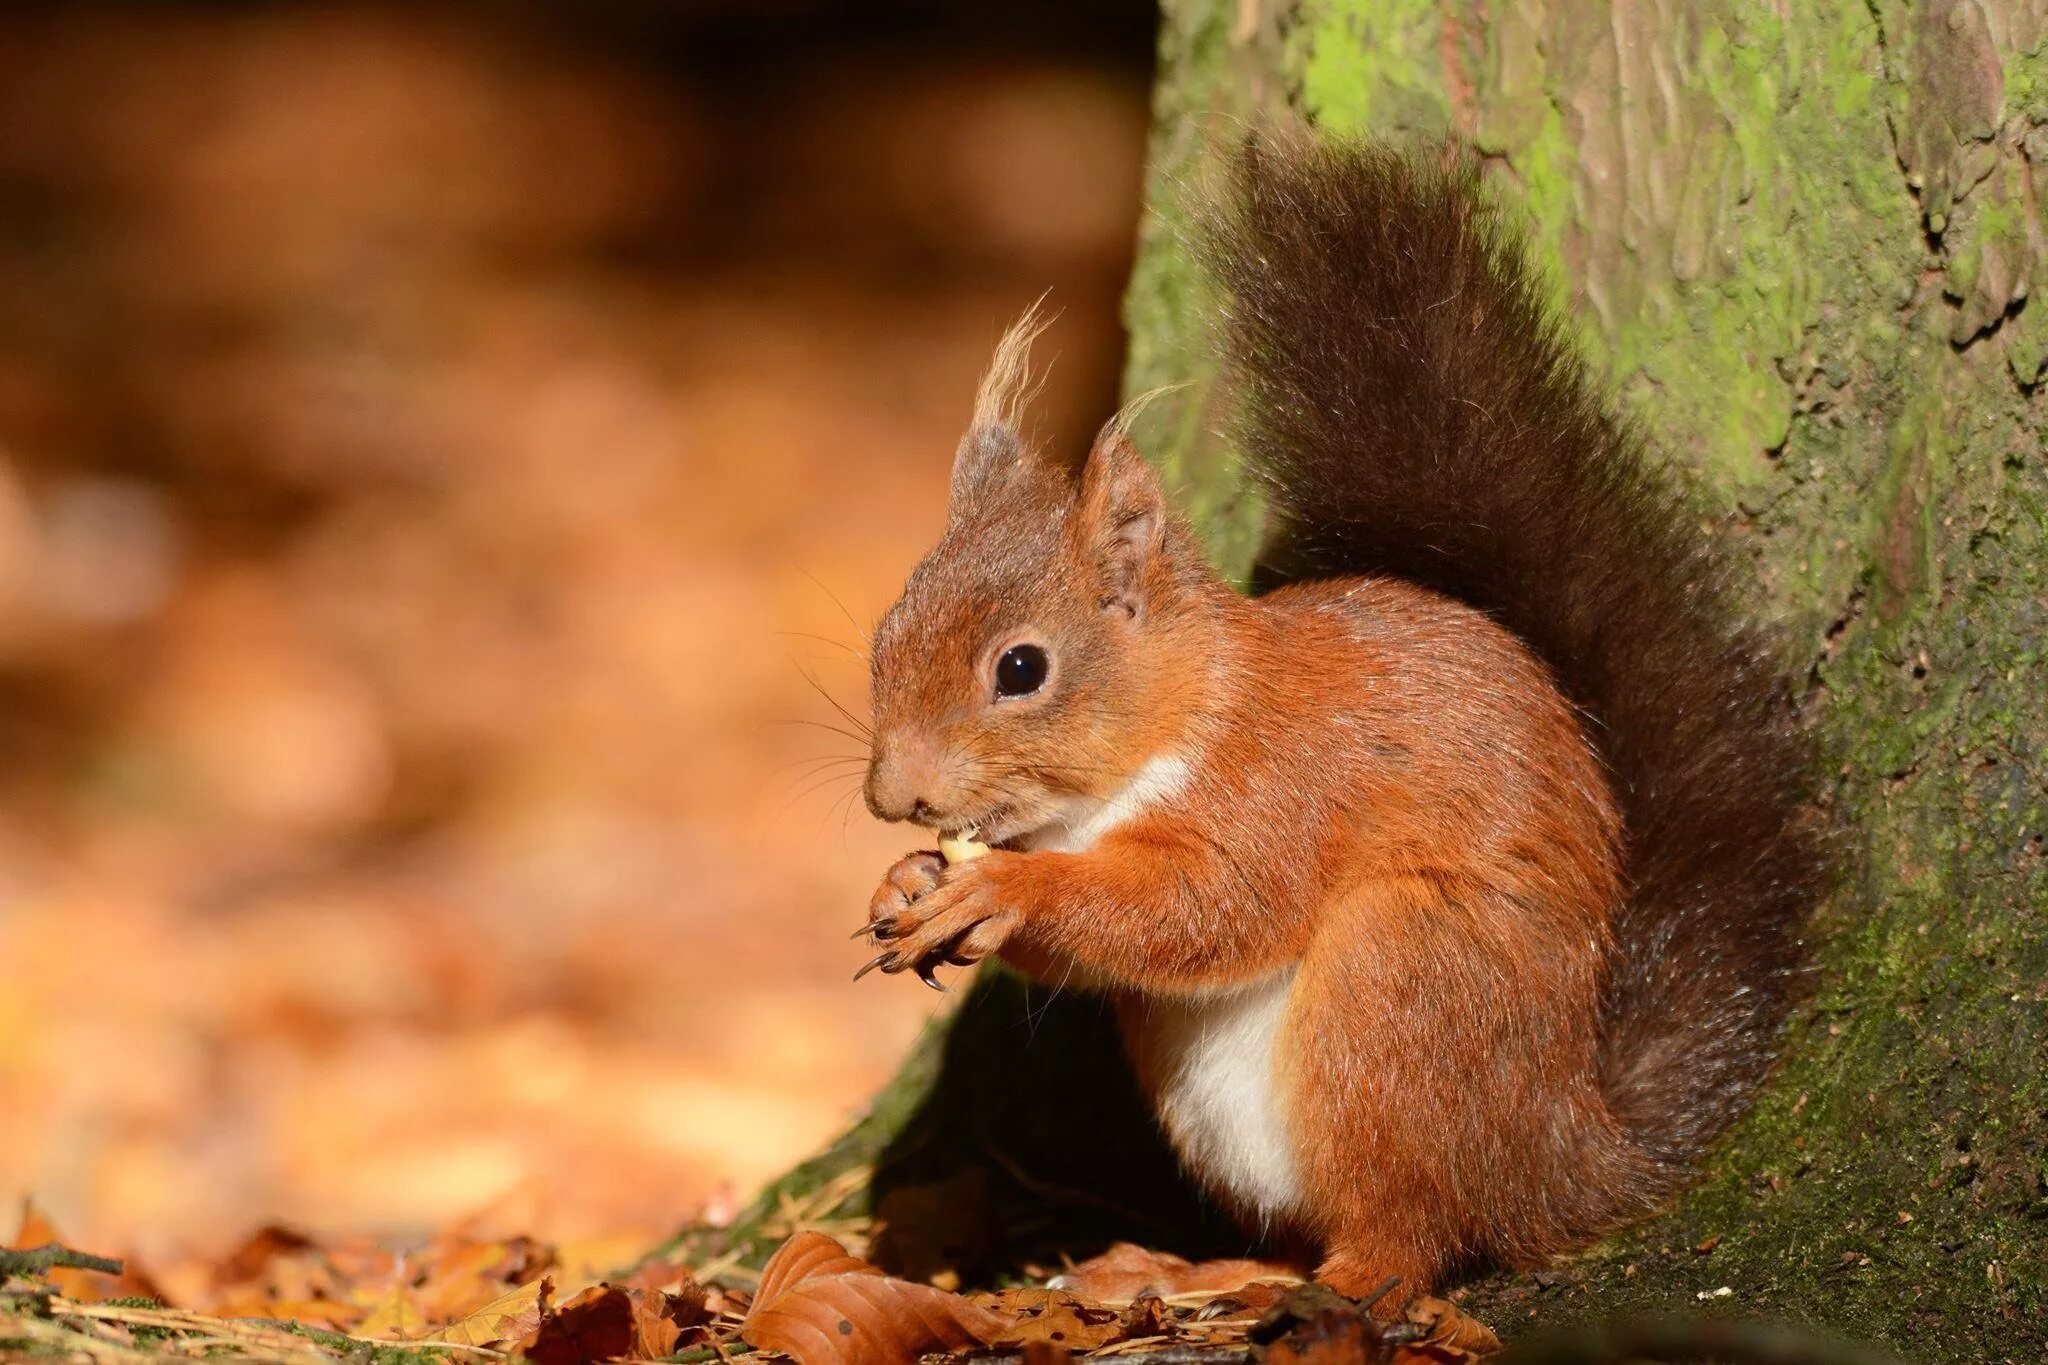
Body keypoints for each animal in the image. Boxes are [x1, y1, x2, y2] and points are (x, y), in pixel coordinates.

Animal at [847, 136, 1826, 1301]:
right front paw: (906, 881)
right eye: (885, 632)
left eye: (1021, 668)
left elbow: (1208, 906)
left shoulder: (1284, 784)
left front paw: (1003, 889)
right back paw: (1201, 1269)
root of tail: (1559, 1148)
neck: (1159, 740)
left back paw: (1345, 1281)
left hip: (1401, 987)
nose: (893, 797)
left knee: (1414, 1228)